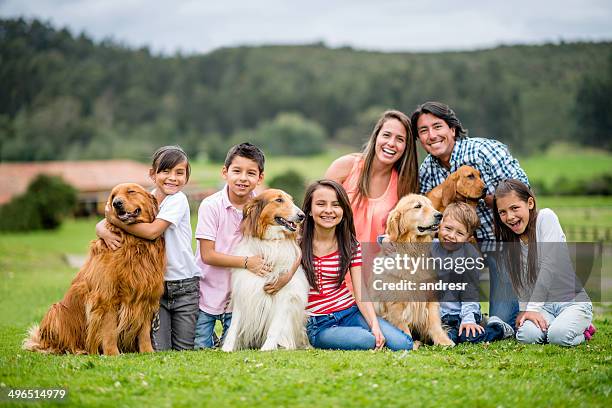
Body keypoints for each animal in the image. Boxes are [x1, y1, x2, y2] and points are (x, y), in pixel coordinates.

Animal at [221, 188, 310, 350]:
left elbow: (274, 328)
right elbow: (234, 326)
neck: (270, 242)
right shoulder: (244, 289)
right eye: (279, 200)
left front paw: (268, 348)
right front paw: (227, 348)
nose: (302, 216)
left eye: (291, 200)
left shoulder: (284, 294)